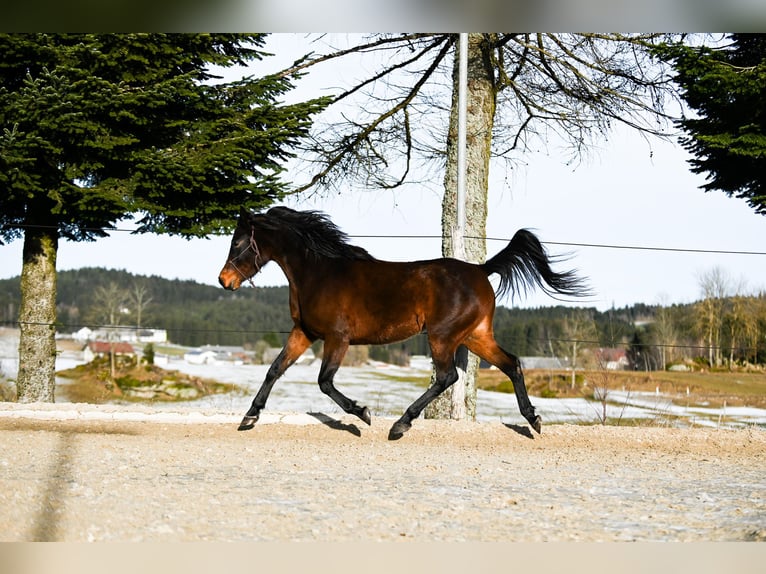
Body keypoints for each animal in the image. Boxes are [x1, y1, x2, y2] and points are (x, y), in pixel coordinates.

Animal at [219, 208, 592, 440]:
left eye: (237, 243)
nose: (224, 281)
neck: (320, 273)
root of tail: (481, 270)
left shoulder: (337, 338)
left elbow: (325, 382)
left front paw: (363, 414)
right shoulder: (305, 333)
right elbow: (275, 369)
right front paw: (249, 418)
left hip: (443, 336)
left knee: (448, 376)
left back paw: (400, 425)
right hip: (475, 336)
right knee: (512, 364)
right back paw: (534, 420)